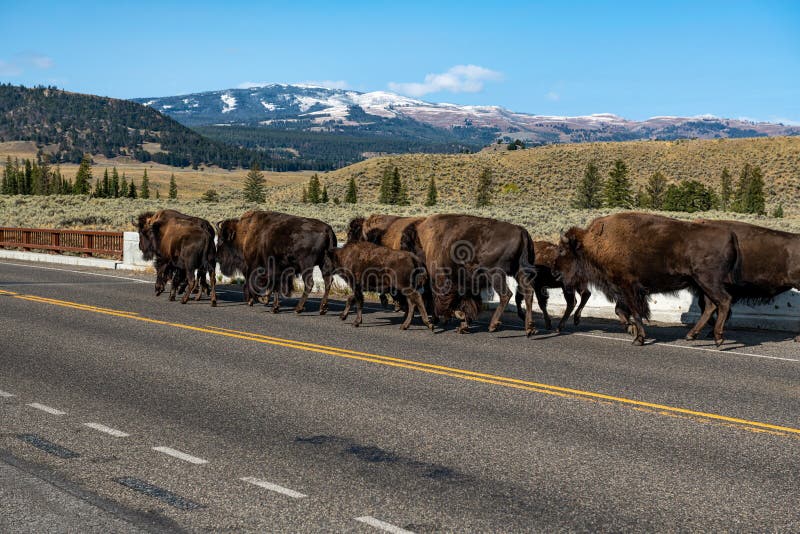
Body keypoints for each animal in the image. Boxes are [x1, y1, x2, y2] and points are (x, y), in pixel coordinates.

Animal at [400, 214, 536, 336]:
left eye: (407, 245)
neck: (423, 240)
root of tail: (521, 231)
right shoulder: (467, 286)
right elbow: (468, 303)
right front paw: (462, 326)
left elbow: (445, 301)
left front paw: (454, 321)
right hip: (519, 271)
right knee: (528, 292)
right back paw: (529, 328)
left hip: (495, 273)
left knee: (506, 294)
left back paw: (493, 325)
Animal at [552, 211, 740, 346]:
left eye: (562, 250)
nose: (555, 273)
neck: (596, 242)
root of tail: (731, 236)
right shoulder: (623, 290)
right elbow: (620, 311)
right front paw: (631, 329)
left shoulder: (628, 287)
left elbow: (635, 311)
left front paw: (639, 338)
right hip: (701, 284)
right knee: (711, 306)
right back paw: (691, 335)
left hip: (708, 282)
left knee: (724, 301)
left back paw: (718, 338)